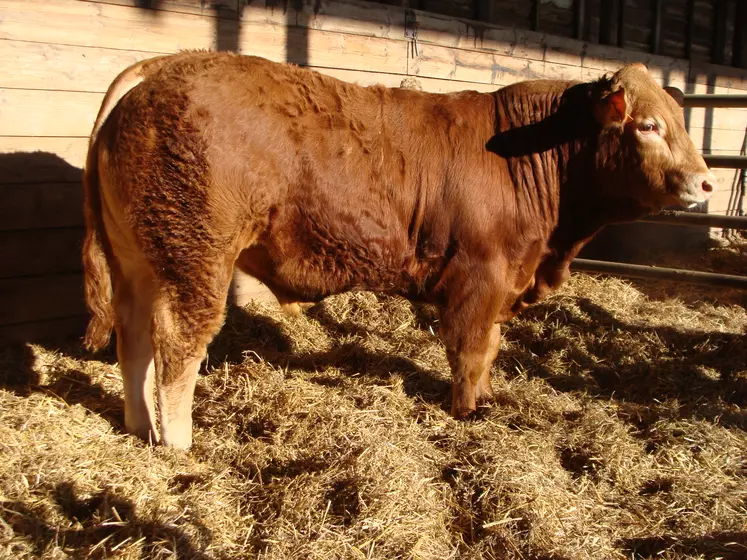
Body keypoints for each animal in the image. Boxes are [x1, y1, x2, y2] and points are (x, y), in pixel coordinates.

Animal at [83, 51, 720, 446]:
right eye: (648, 126)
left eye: (678, 120)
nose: (706, 181)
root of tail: (165, 66)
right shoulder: (479, 278)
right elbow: (470, 350)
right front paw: (467, 411)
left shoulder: (502, 284)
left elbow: (490, 349)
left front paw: (487, 401)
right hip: (196, 256)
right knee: (177, 344)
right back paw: (179, 445)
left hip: (139, 259)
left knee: (132, 335)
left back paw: (140, 428)